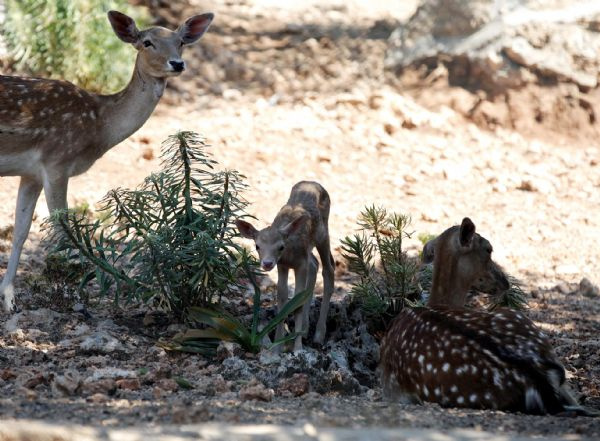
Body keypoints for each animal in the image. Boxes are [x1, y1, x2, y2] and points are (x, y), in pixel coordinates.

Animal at [0, 9, 216, 310]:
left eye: (181, 41)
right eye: (147, 42)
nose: (177, 63)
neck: (99, 125)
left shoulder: (31, 172)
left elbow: (21, 231)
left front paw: (8, 297)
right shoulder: (57, 160)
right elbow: (64, 229)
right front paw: (79, 296)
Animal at [236, 180, 338, 350]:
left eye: (280, 247)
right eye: (257, 246)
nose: (267, 263)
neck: (290, 255)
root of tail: (314, 183)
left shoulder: (300, 264)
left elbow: (297, 302)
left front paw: (297, 348)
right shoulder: (282, 266)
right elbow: (283, 298)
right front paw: (278, 345)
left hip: (323, 234)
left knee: (328, 268)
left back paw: (318, 336)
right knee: (314, 264)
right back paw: (305, 330)